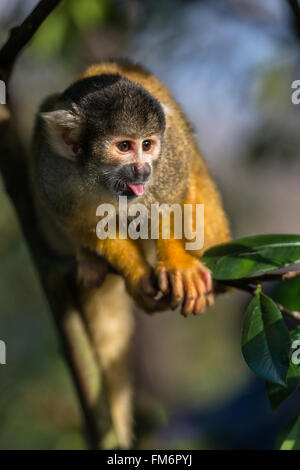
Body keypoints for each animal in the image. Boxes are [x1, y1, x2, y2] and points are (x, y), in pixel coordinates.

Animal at [30, 59, 231, 448]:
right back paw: (91, 261)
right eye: (124, 146)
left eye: (147, 145)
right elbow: (84, 226)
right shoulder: (54, 173)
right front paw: (136, 275)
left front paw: (179, 266)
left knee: (193, 177)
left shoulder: (168, 157)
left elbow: (171, 196)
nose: (142, 168)